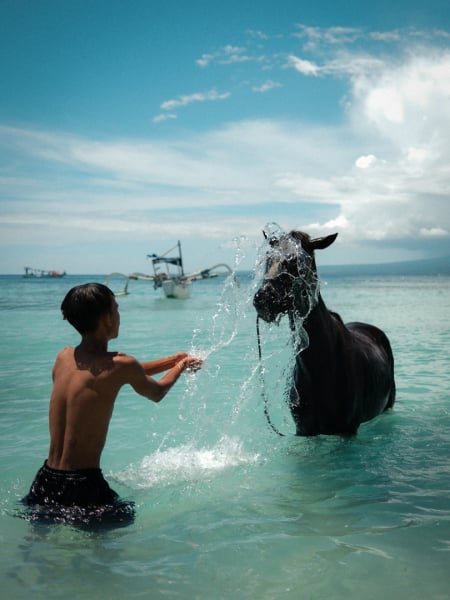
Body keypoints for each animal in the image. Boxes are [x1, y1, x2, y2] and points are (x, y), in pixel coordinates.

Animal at [255, 226, 396, 436]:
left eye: (296, 260)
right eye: (267, 258)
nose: (264, 298)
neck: (320, 366)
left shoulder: (348, 429)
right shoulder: (304, 430)